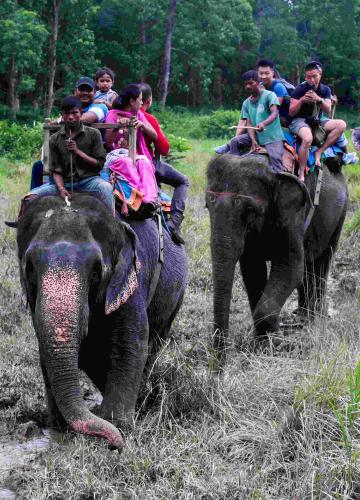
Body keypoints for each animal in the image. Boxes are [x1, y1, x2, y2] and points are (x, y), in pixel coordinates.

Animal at [15, 194, 187, 450]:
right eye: (30, 268)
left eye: (97, 271)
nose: (117, 445)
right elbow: (54, 350)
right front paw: (60, 430)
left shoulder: (130, 279)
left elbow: (129, 345)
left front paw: (117, 423)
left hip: (175, 297)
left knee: (154, 342)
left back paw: (143, 398)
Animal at [207, 153, 348, 364]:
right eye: (208, 205)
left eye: (250, 209)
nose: (219, 366)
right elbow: (252, 271)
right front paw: (263, 340)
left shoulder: (294, 214)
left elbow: (291, 267)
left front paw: (274, 345)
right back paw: (302, 319)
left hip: (340, 214)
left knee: (321, 263)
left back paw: (314, 320)